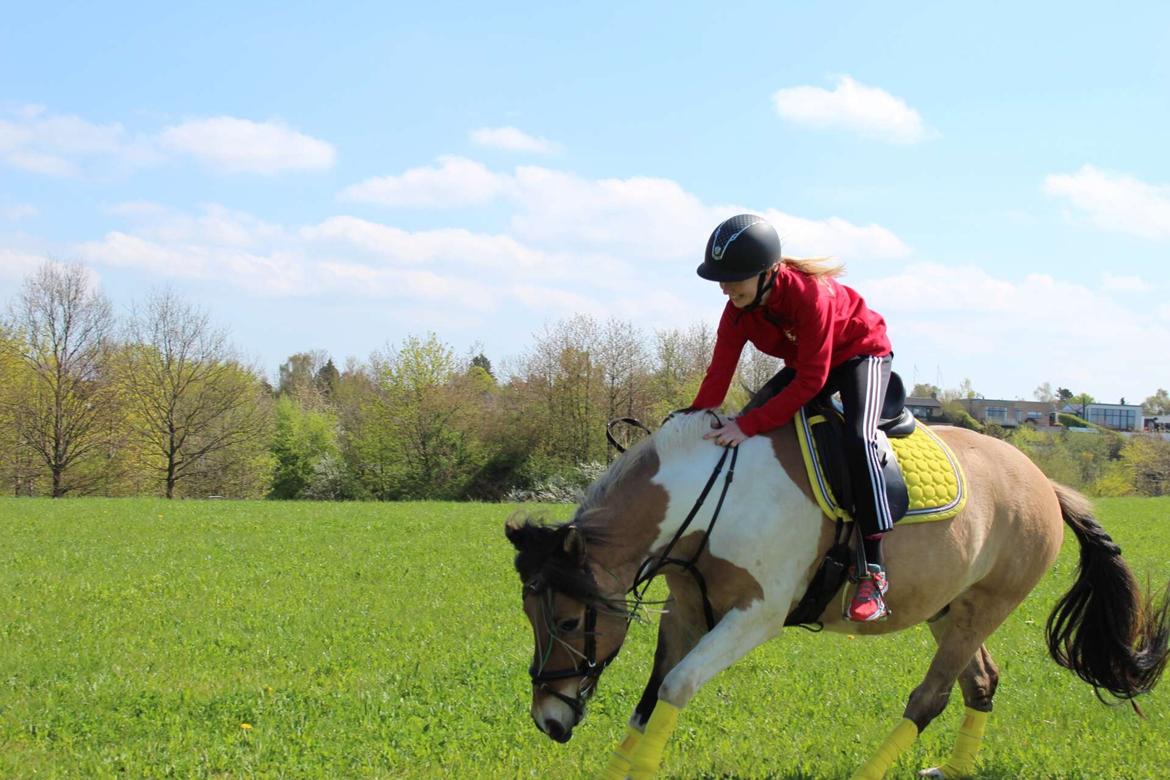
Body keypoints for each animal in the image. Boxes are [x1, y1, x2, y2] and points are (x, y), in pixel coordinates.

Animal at [503, 411, 1170, 776]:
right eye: (531, 618)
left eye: (568, 622)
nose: (548, 720)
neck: (711, 499)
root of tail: (1045, 484)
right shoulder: (687, 611)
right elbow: (649, 700)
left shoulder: (755, 615)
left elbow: (676, 686)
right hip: (949, 609)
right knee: (980, 682)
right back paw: (953, 770)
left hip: (985, 607)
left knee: (929, 699)